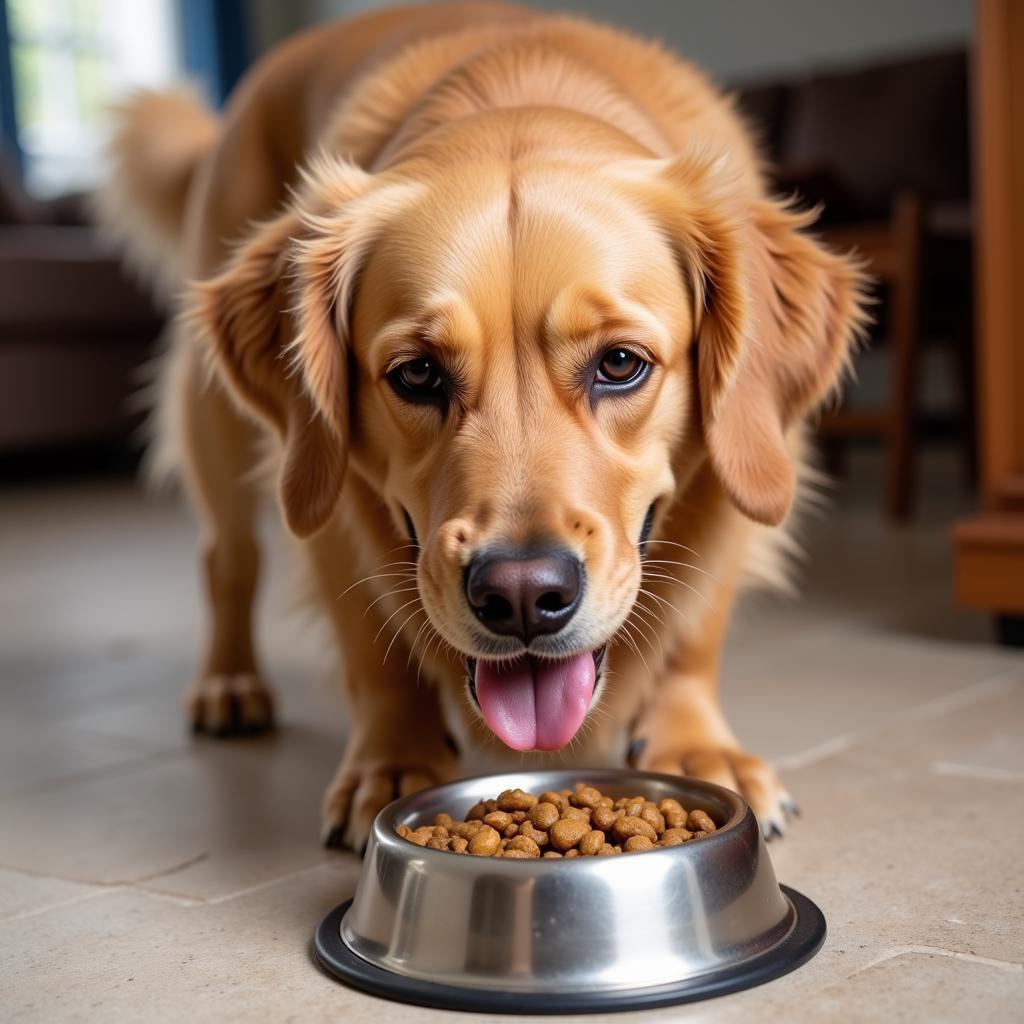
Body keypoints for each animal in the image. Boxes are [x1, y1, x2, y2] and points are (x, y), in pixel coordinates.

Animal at [96, 0, 864, 847]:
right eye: (417, 373)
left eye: (620, 364)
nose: (523, 596)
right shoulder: (332, 504)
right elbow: (372, 647)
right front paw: (393, 763)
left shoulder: (739, 473)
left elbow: (694, 634)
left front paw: (696, 752)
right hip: (220, 421)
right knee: (227, 558)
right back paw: (230, 682)